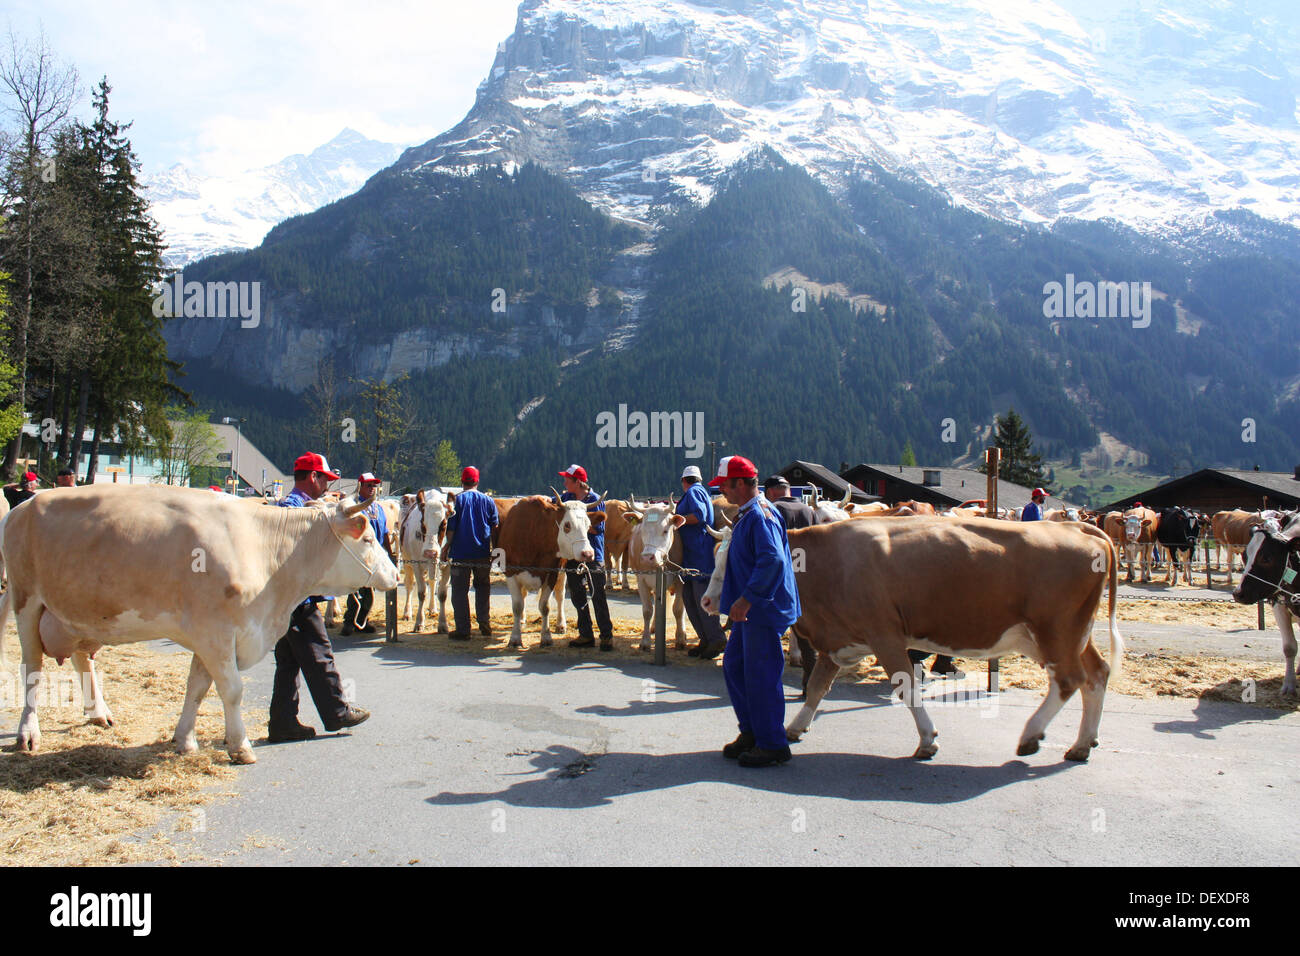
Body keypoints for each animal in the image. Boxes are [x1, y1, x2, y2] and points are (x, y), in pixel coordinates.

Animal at [0, 486, 395, 764]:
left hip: (77, 617)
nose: (392, 574)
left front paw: (184, 740)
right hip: (26, 601)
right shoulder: (214, 631)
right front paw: (240, 747)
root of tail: (22, 506)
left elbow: (197, 687)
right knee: (32, 668)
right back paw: (28, 734)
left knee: (82, 660)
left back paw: (99, 714)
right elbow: (231, 690)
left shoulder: (211, 636)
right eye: (367, 538)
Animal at [621, 502, 691, 650]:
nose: (647, 558)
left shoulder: (680, 580)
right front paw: (645, 641)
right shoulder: (641, 580)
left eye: (665, 530)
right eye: (642, 530)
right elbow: (647, 610)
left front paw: (680, 639)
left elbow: (678, 609)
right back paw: (654, 627)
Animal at [707, 512, 1123, 764]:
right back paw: (1082, 743)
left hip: (1056, 630)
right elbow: (817, 687)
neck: (828, 563)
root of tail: (1077, 527)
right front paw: (795, 727)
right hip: (1071, 634)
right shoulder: (838, 641)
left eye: (735, 560)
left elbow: (906, 687)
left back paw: (1032, 735)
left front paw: (928, 739)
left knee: (1069, 679)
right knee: (1096, 675)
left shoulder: (885, 635)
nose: (709, 600)